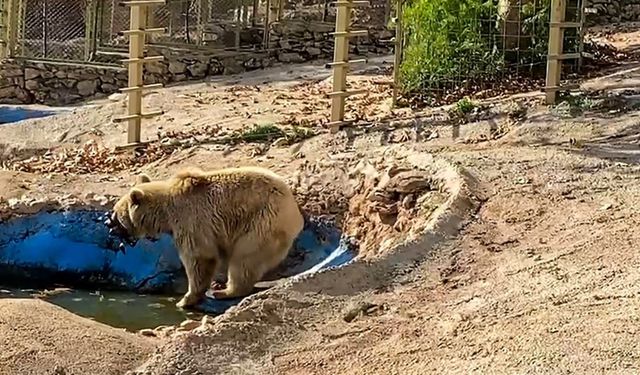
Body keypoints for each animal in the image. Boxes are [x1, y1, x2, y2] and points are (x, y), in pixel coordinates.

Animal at [109, 167, 304, 308]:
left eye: (116, 214)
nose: (110, 227)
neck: (166, 213)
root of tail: (296, 215)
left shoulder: (191, 221)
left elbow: (199, 257)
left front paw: (186, 299)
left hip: (261, 222)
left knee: (244, 258)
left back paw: (226, 291)